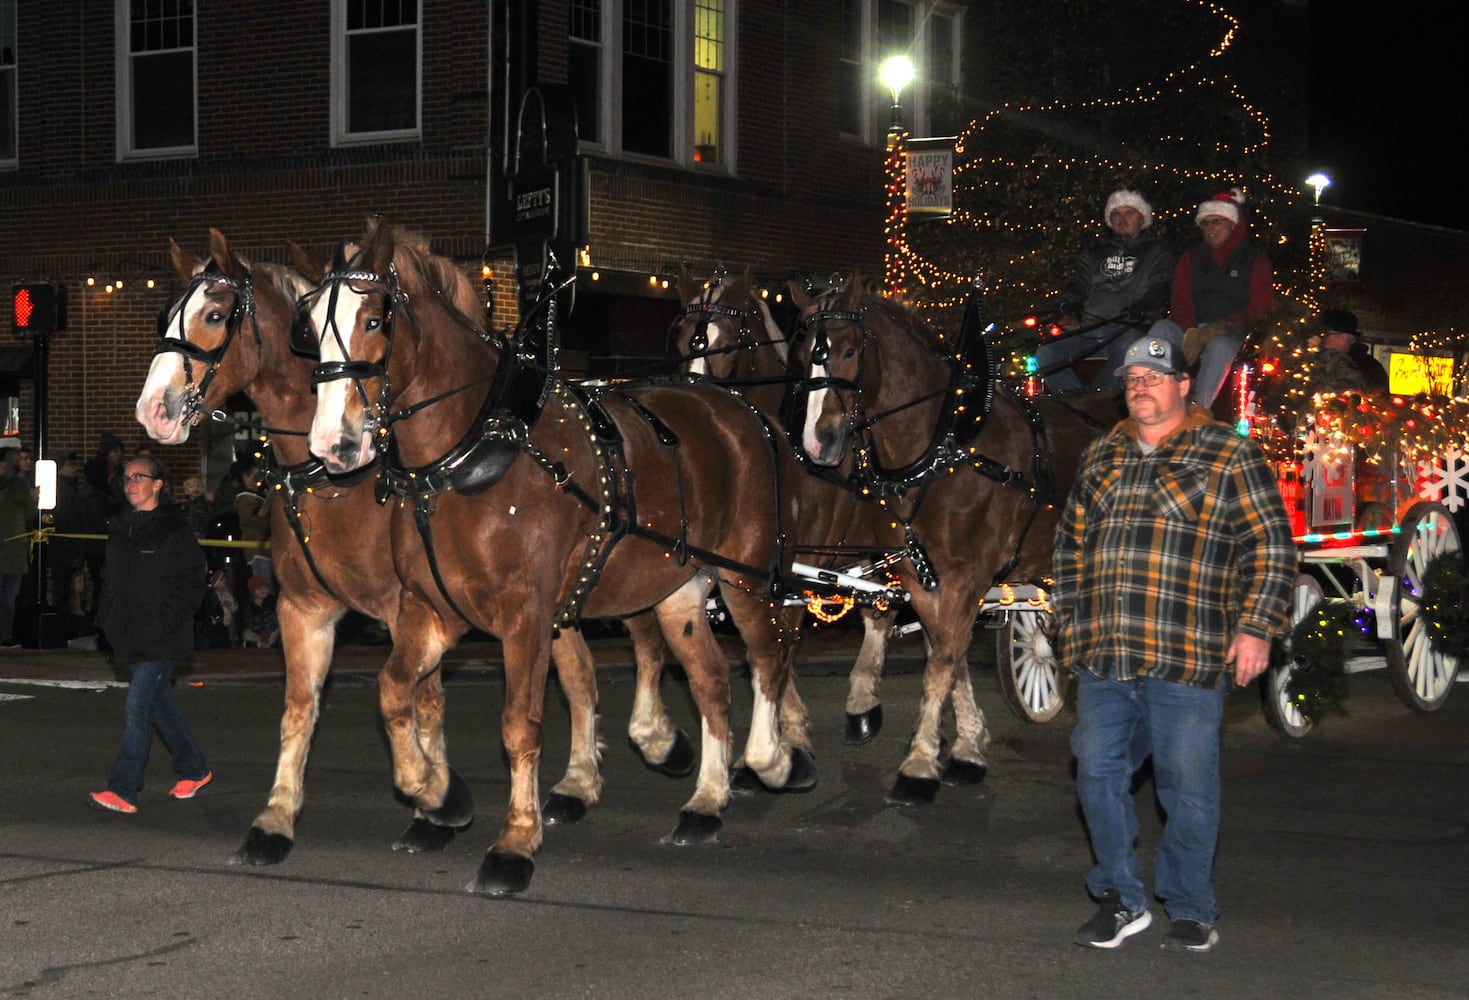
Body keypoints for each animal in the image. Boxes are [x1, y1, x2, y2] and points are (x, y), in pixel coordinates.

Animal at [298, 221, 805, 892]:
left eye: (375, 320)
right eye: (309, 331)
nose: (334, 444)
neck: (470, 452)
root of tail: (738, 409)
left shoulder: (525, 616)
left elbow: (520, 725)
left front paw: (514, 841)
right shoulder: (434, 611)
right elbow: (393, 691)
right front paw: (437, 794)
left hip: (745, 575)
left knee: (768, 657)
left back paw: (771, 760)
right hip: (679, 590)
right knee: (713, 682)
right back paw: (705, 802)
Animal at [787, 273, 1104, 804]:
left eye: (849, 350)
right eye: (801, 350)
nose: (816, 442)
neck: (942, 447)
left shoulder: (967, 575)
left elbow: (942, 663)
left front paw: (918, 765)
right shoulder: (920, 574)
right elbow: (947, 657)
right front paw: (966, 748)